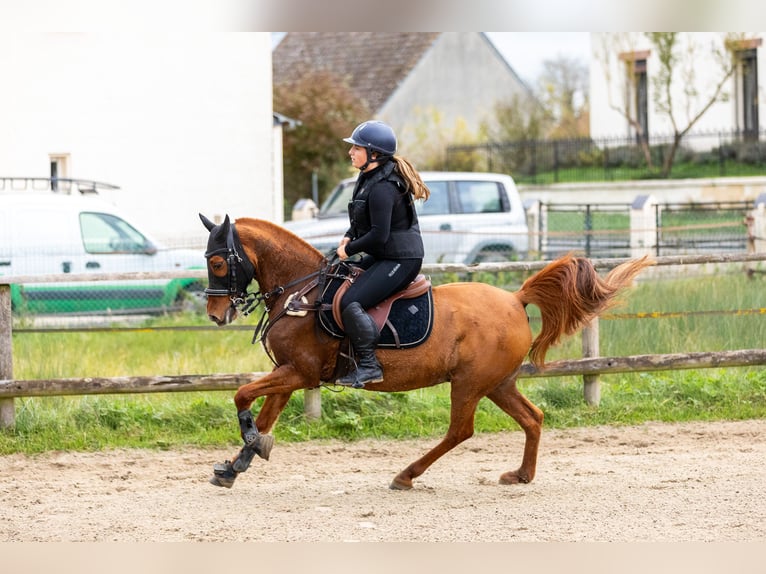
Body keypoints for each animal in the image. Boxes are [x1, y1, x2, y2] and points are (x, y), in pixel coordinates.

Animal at [200, 214, 656, 492]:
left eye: (219, 263)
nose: (216, 315)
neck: (304, 292)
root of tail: (514, 298)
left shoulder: (302, 372)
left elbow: (242, 396)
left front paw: (251, 446)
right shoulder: (289, 372)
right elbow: (262, 414)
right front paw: (237, 464)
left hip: (469, 383)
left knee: (460, 431)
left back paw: (406, 475)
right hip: (498, 383)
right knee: (533, 417)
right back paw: (522, 475)